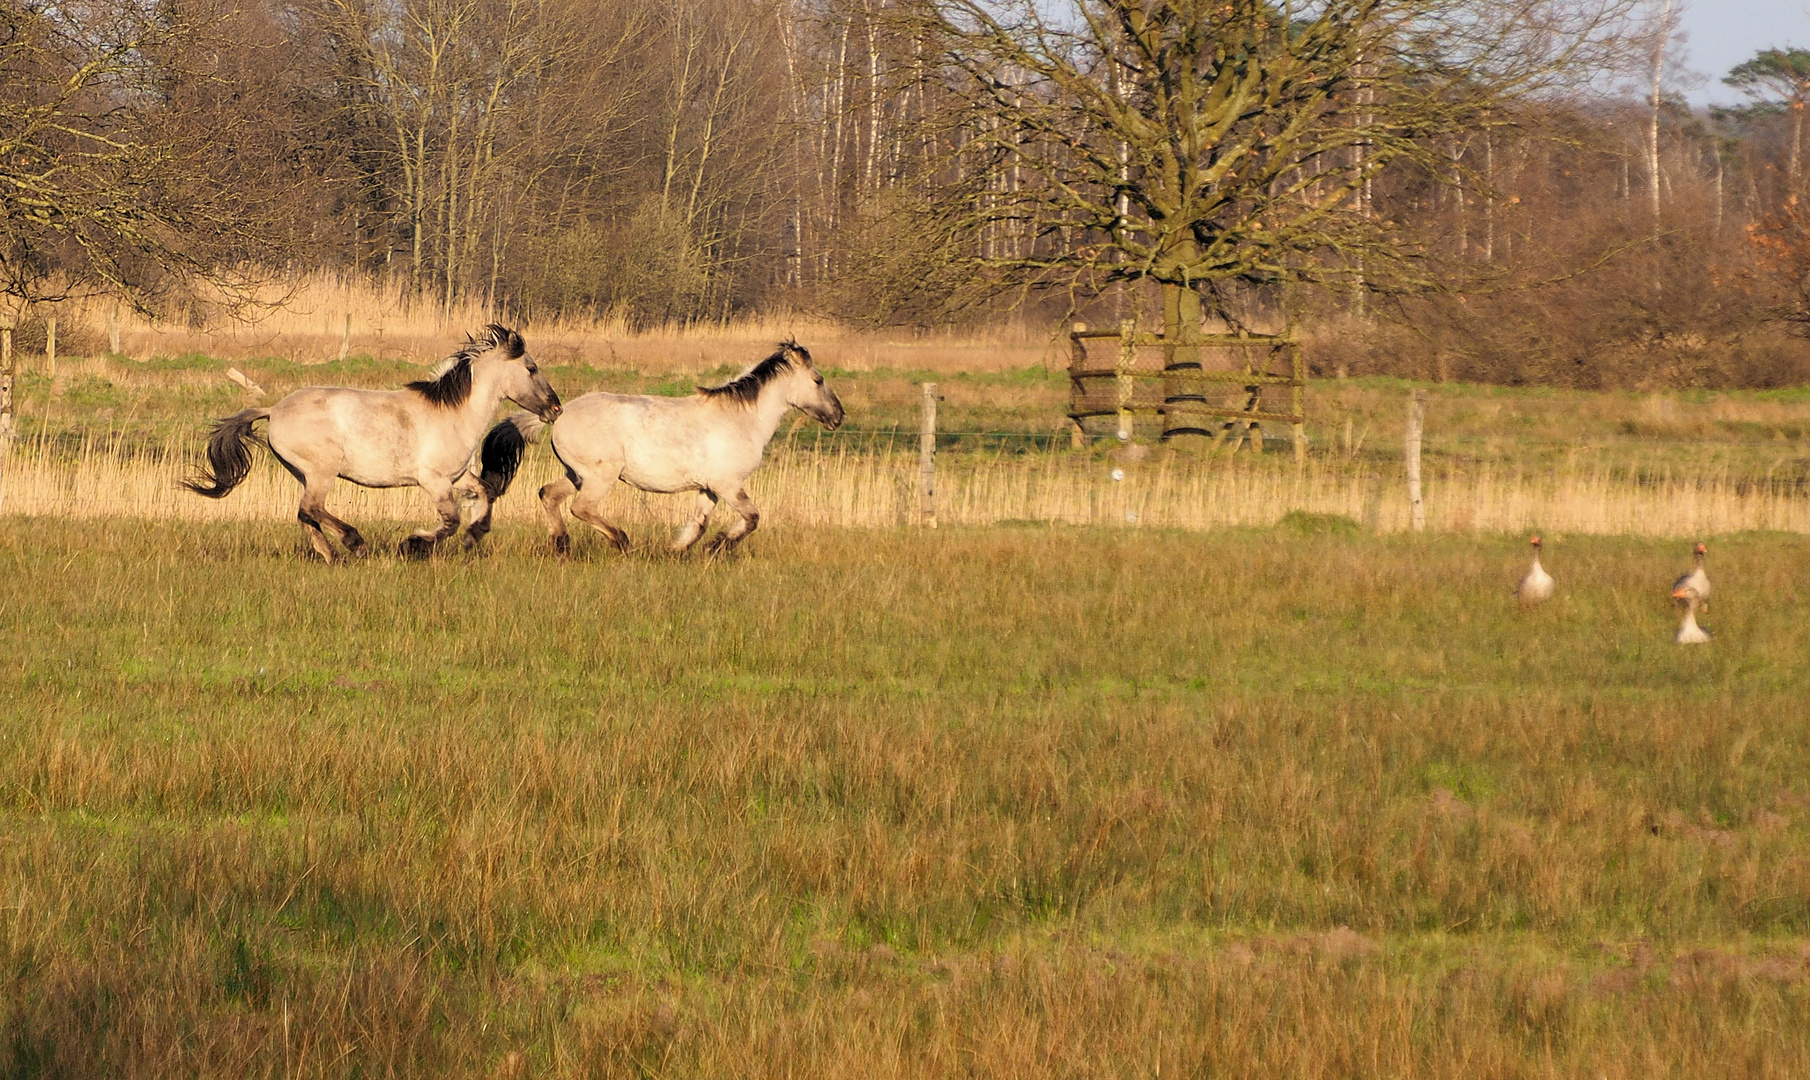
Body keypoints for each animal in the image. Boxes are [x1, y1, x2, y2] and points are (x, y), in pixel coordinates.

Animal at [181, 322, 557, 560]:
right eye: (532, 368)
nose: (555, 408)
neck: (454, 413)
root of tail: (273, 410)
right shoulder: (433, 481)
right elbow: (450, 520)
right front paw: (413, 545)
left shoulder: (457, 476)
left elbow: (485, 493)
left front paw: (473, 536)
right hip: (322, 471)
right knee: (311, 509)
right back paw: (355, 544)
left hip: (303, 473)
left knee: (305, 516)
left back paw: (334, 557)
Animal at [481, 336, 847, 557]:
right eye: (818, 380)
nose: (838, 416)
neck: (743, 419)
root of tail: (559, 413)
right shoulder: (728, 485)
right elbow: (752, 517)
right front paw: (719, 547)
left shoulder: (709, 489)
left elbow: (698, 524)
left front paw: (677, 550)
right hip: (600, 476)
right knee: (581, 508)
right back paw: (621, 541)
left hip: (575, 474)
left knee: (548, 495)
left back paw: (562, 545)